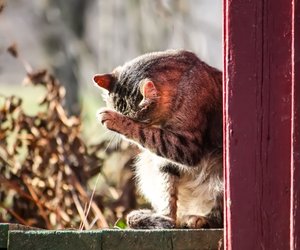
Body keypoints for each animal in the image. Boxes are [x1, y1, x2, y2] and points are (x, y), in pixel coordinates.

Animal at [93, 48, 223, 229]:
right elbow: (167, 195)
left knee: (219, 214)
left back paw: (199, 219)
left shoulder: (186, 146)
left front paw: (116, 120)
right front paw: (165, 218)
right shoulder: (166, 162)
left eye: (135, 120)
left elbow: (147, 133)